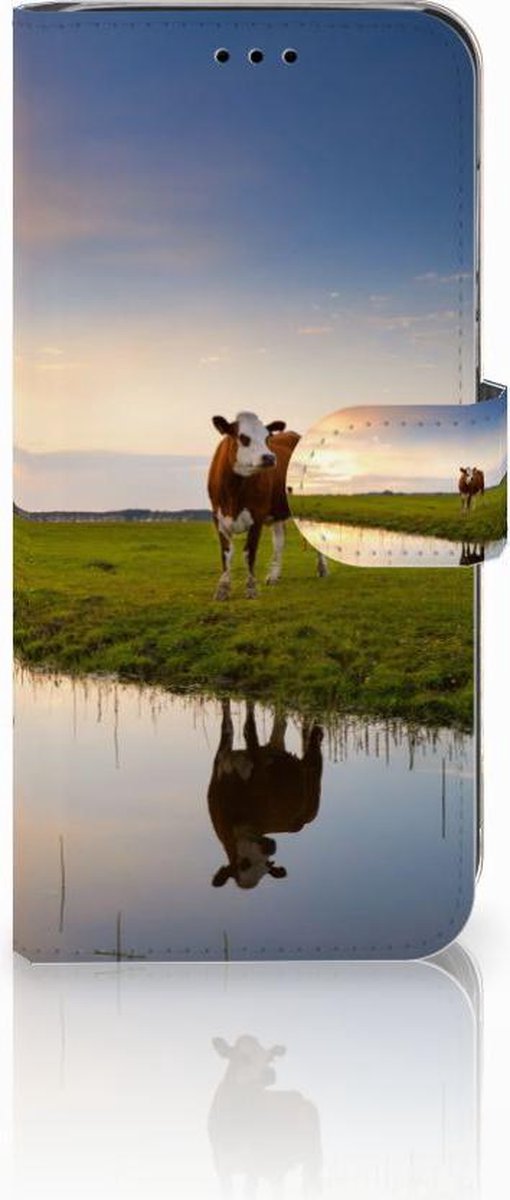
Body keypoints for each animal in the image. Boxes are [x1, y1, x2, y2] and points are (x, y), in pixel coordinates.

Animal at [207, 700, 323, 890]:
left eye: (267, 865)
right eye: (244, 863)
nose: (271, 847)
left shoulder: (258, 767)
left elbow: (249, 728)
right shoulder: (221, 760)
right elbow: (228, 725)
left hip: (313, 781)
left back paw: (317, 733)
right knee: (281, 724)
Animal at [208, 411, 328, 599]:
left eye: (267, 438)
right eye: (243, 437)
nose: (270, 457)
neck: (233, 493)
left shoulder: (257, 516)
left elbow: (249, 553)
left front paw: (251, 589)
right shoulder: (218, 518)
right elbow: (226, 554)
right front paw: (222, 589)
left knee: (314, 535)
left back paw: (322, 568)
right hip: (278, 511)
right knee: (279, 541)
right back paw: (273, 576)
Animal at [208, 1035, 322, 1197]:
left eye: (269, 1058)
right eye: (244, 1056)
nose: (269, 1072)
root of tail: (301, 1096)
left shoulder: (253, 1166)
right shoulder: (221, 1165)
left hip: (313, 1158)